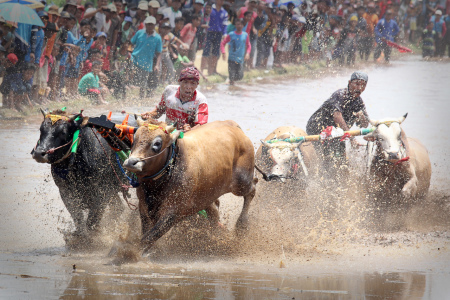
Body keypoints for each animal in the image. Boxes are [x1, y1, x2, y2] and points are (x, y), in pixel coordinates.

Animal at [123, 118, 256, 254]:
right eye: (135, 138)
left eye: (157, 143)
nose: (131, 162)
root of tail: (234, 126)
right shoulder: (144, 206)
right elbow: (147, 233)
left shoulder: (174, 212)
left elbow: (149, 237)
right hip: (208, 196)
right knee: (214, 213)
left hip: (242, 183)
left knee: (252, 190)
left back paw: (242, 224)